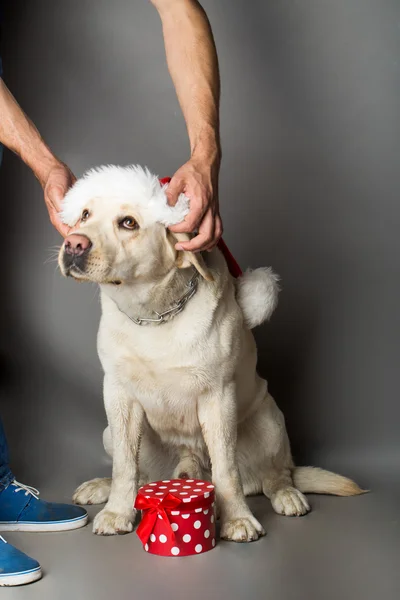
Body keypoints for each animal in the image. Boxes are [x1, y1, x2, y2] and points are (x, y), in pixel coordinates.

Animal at [58, 166, 362, 540]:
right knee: (141, 475)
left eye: (128, 222)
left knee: (276, 474)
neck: (154, 315)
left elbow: (226, 471)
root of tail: (189, 466)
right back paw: (103, 486)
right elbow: (125, 468)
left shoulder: (217, 396)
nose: (73, 243)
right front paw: (117, 511)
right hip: (109, 433)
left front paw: (237, 519)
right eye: (85, 215)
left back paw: (287, 494)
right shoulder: (118, 395)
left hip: (271, 420)